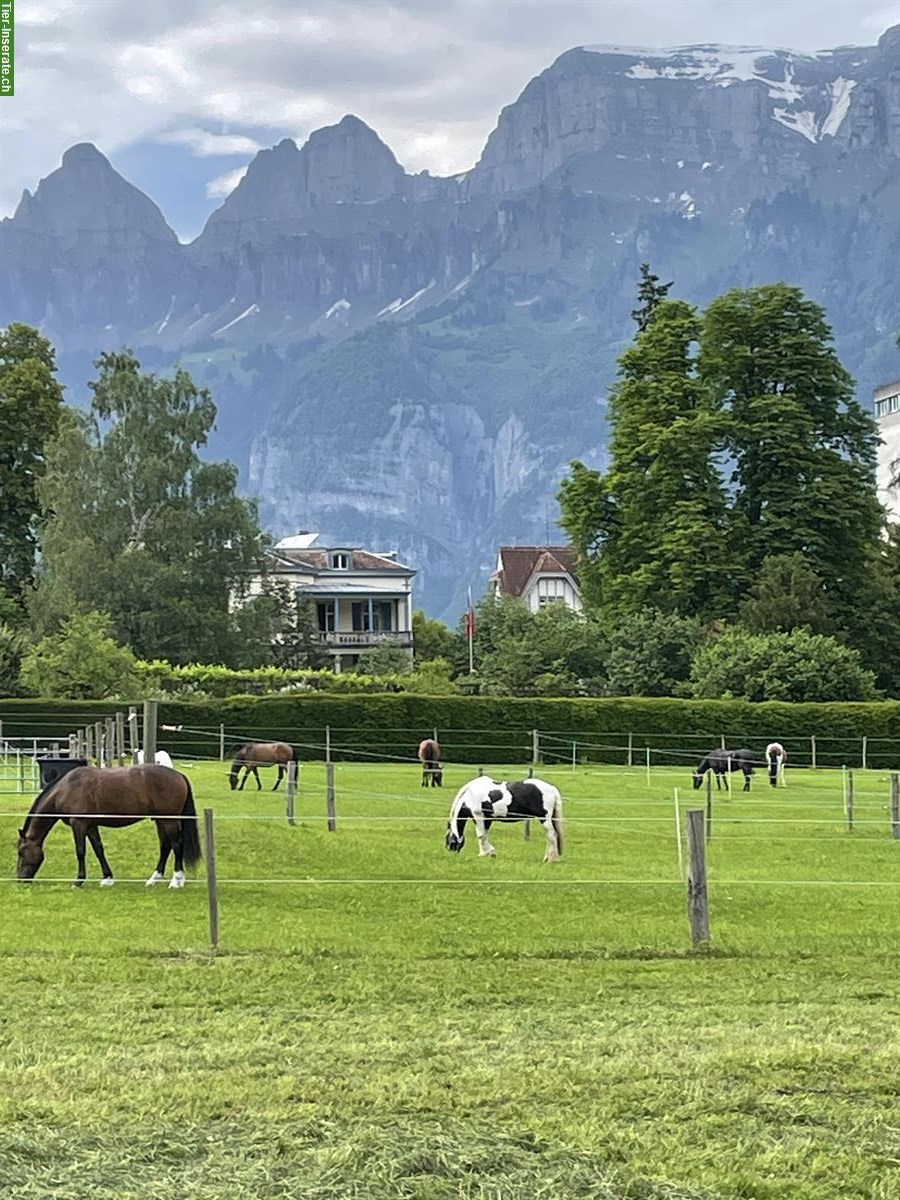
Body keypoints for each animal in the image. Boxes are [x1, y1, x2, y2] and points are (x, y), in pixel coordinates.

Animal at [16, 764, 201, 888]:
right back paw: (154, 879)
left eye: (21, 852)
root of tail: (179, 775)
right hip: (160, 820)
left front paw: (78, 880)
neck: (66, 789)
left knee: (177, 845)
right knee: (165, 846)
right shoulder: (90, 826)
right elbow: (98, 849)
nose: (20, 879)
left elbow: (80, 851)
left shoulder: (79, 824)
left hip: (169, 820)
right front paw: (107, 878)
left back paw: (176, 881)